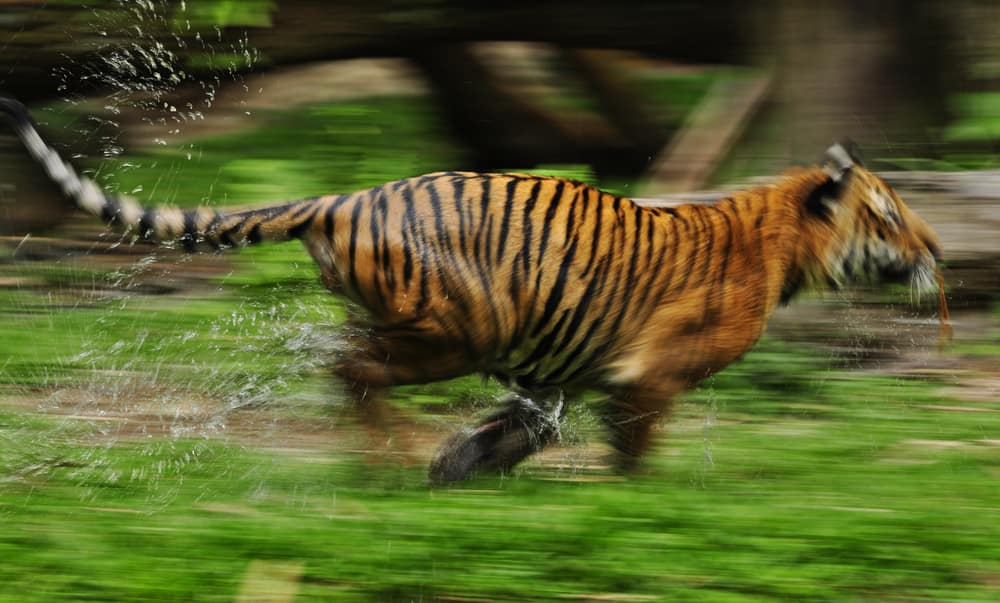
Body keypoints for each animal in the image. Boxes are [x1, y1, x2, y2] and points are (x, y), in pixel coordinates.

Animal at [0, 99, 944, 486]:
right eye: (890, 215)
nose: (937, 248)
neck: (782, 243)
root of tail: (343, 195)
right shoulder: (649, 375)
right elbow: (633, 446)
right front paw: (632, 499)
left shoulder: (564, 367)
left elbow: (518, 430)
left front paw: (458, 469)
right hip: (457, 328)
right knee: (352, 370)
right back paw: (382, 461)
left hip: (433, 325)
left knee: (343, 363)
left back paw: (391, 460)